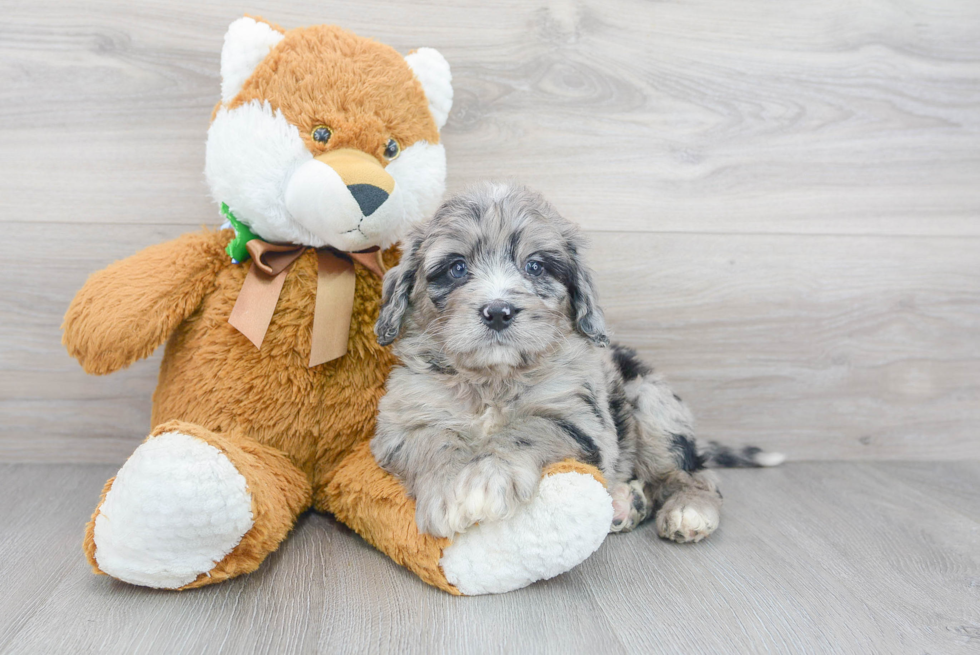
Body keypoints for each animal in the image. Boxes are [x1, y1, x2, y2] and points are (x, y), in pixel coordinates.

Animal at [368, 183, 780, 544]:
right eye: (456, 267)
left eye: (535, 267)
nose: (498, 312)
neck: (493, 380)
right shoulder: (404, 421)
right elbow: (435, 440)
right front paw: (453, 486)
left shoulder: (581, 416)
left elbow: (531, 427)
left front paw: (486, 477)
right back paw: (626, 503)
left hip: (653, 405)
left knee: (695, 476)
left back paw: (687, 511)